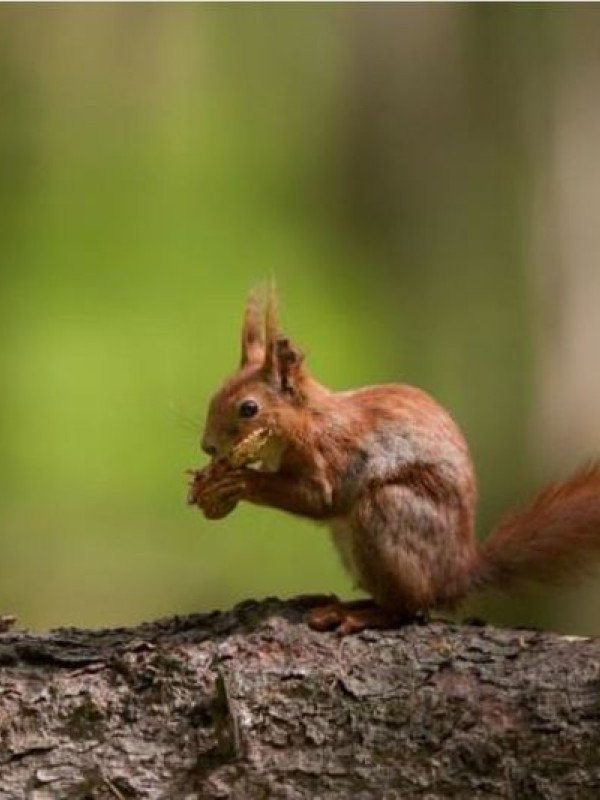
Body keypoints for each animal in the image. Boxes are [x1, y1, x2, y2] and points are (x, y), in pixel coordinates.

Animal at [188, 287, 600, 634]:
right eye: (214, 395)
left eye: (249, 408)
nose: (207, 446)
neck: (309, 422)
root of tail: (456, 572)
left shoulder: (330, 458)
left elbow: (317, 499)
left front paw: (240, 481)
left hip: (387, 515)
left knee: (408, 608)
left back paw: (356, 616)